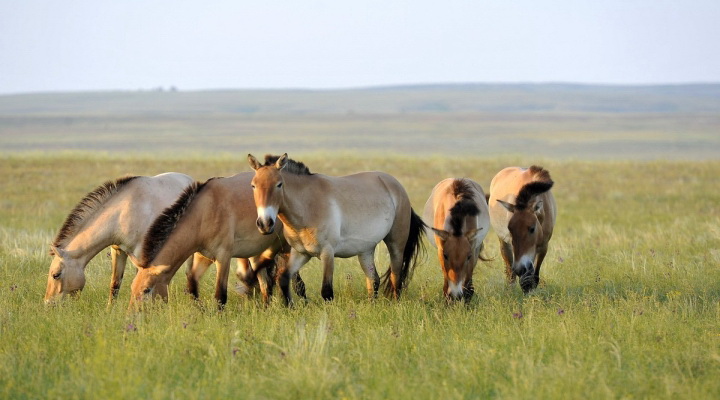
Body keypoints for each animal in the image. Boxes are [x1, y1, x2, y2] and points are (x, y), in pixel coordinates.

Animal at [129, 173, 304, 310]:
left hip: (286, 248)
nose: (131, 316)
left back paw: (292, 305)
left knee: (288, 278)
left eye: (146, 290)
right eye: (132, 288)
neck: (205, 212)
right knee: (266, 284)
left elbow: (220, 295)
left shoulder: (223, 257)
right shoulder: (204, 257)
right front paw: (200, 311)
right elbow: (192, 284)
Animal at [249, 154, 424, 306]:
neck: (308, 205)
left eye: (279, 184)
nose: (265, 224)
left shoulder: (327, 253)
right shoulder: (301, 253)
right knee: (373, 279)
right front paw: (290, 309)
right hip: (366, 250)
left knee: (396, 278)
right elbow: (285, 279)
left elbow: (327, 291)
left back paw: (396, 305)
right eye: (253, 185)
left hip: (396, 245)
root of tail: (396, 186)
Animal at [490, 166, 556, 294]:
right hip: (503, 243)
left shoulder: (544, 246)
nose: (520, 269)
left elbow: (535, 272)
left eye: (532, 228)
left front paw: (529, 288)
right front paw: (525, 287)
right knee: (510, 270)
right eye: (510, 229)